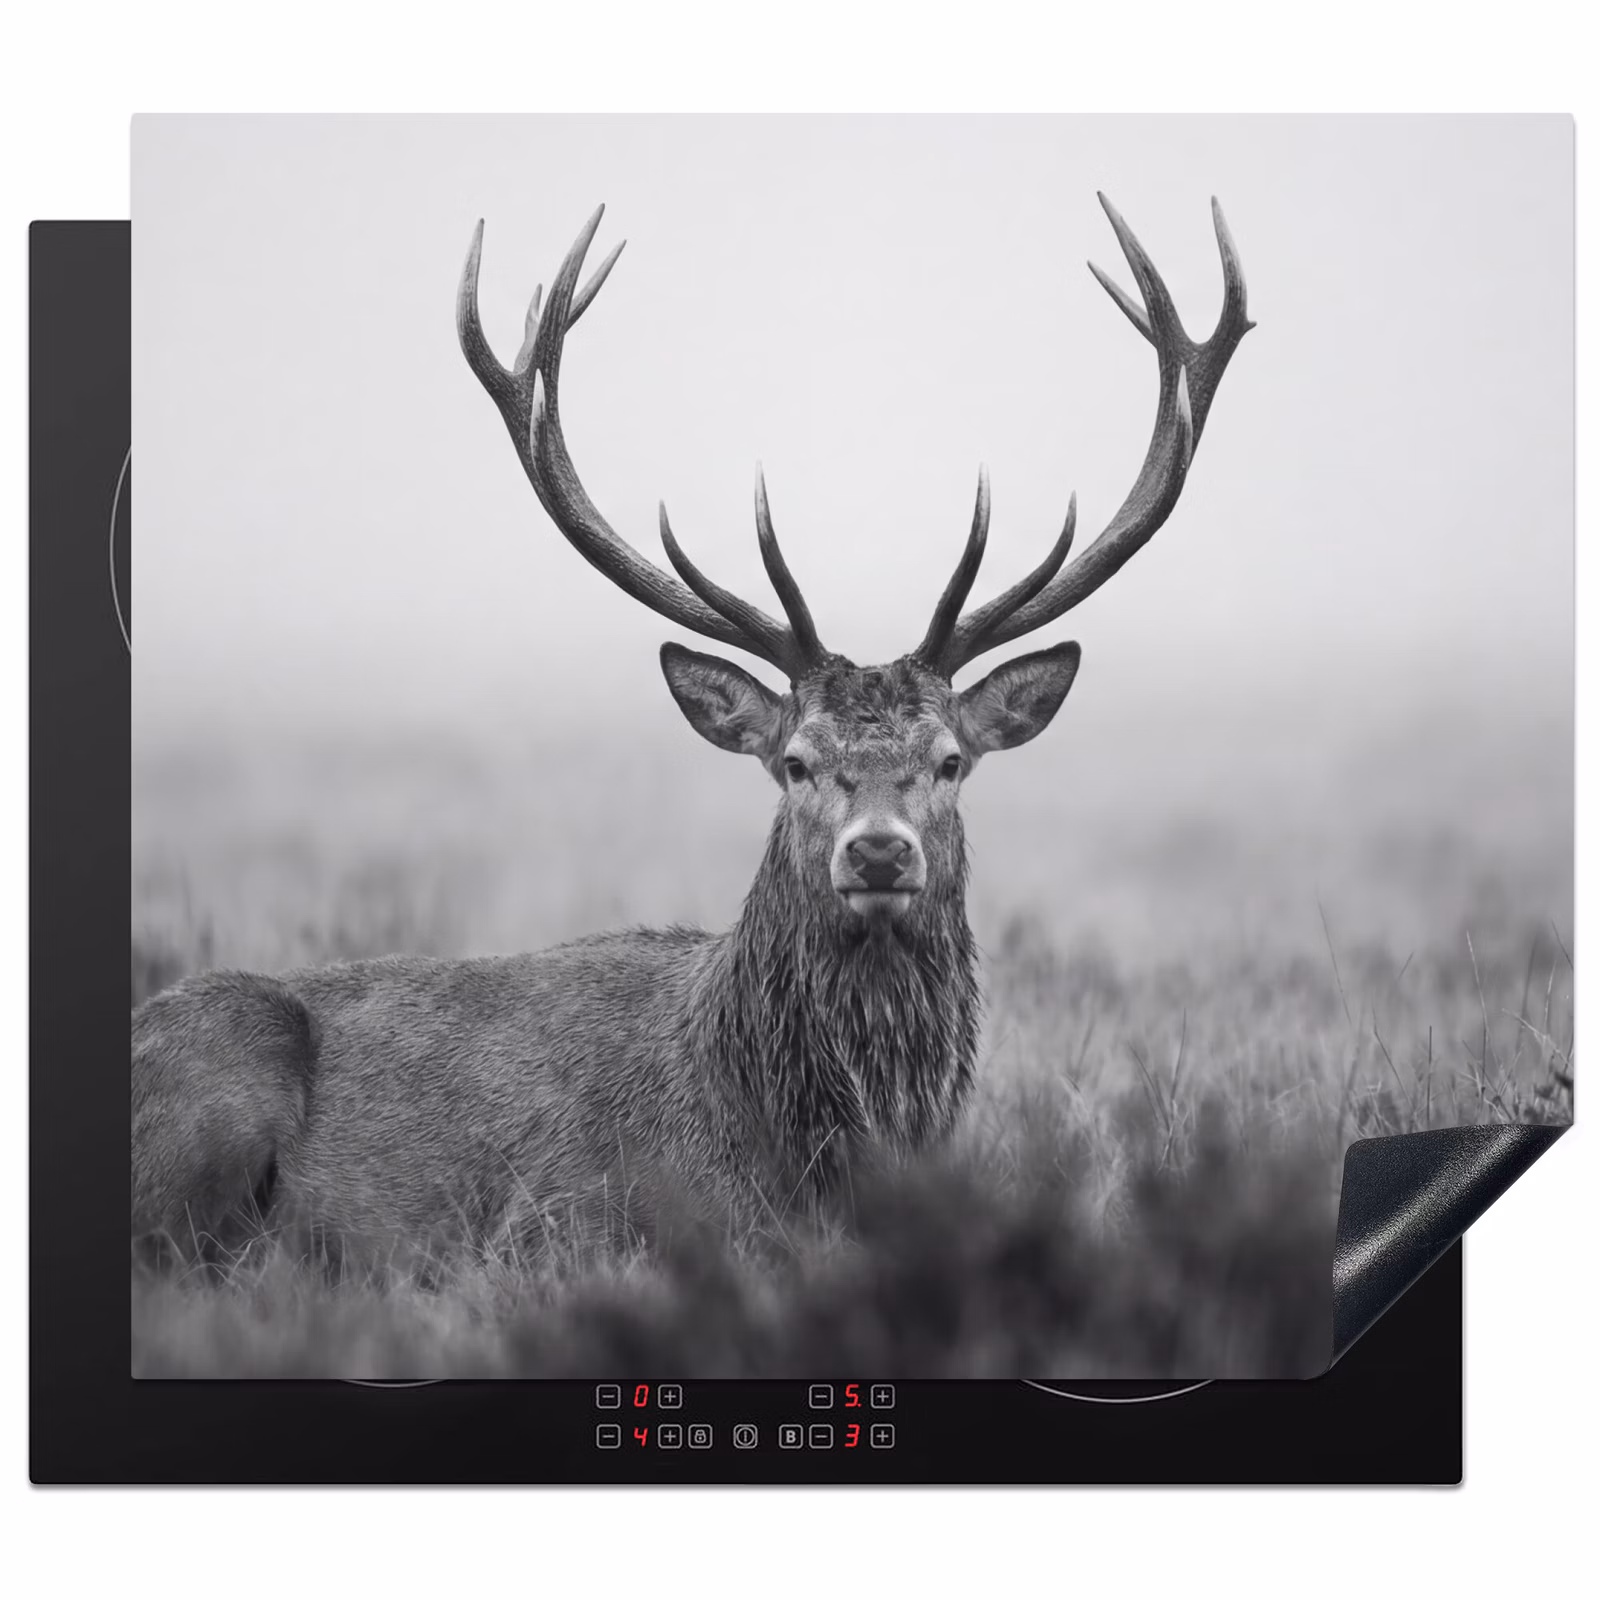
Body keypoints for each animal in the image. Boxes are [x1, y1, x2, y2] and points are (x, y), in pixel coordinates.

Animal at [131, 194, 1251, 1268]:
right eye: (794, 763)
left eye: (950, 761)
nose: (878, 852)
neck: (794, 1138)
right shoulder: (553, 1218)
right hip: (213, 1094)